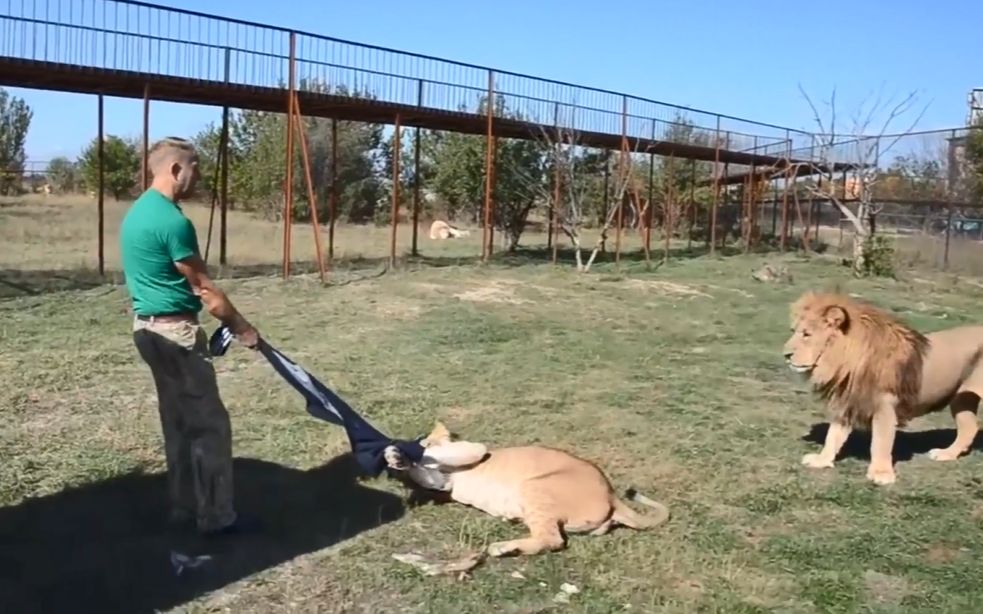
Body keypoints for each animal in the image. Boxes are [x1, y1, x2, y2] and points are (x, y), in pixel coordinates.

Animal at [382, 424, 668, 560]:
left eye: (428, 439)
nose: (420, 439)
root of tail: (612, 495)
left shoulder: (474, 449)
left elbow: (433, 456)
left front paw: (400, 453)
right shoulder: (443, 482)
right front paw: (397, 460)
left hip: (534, 486)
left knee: (553, 539)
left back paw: (502, 548)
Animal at [788, 292, 983, 488]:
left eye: (806, 334)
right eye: (793, 331)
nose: (786, 354)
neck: (846, 361)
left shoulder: (885, 408)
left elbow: (881, 442)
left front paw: (881, 474)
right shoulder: (847, 403)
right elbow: (833, 436)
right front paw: (821, 461)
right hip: (962, 399)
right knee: (969, 428)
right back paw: (945, 454)